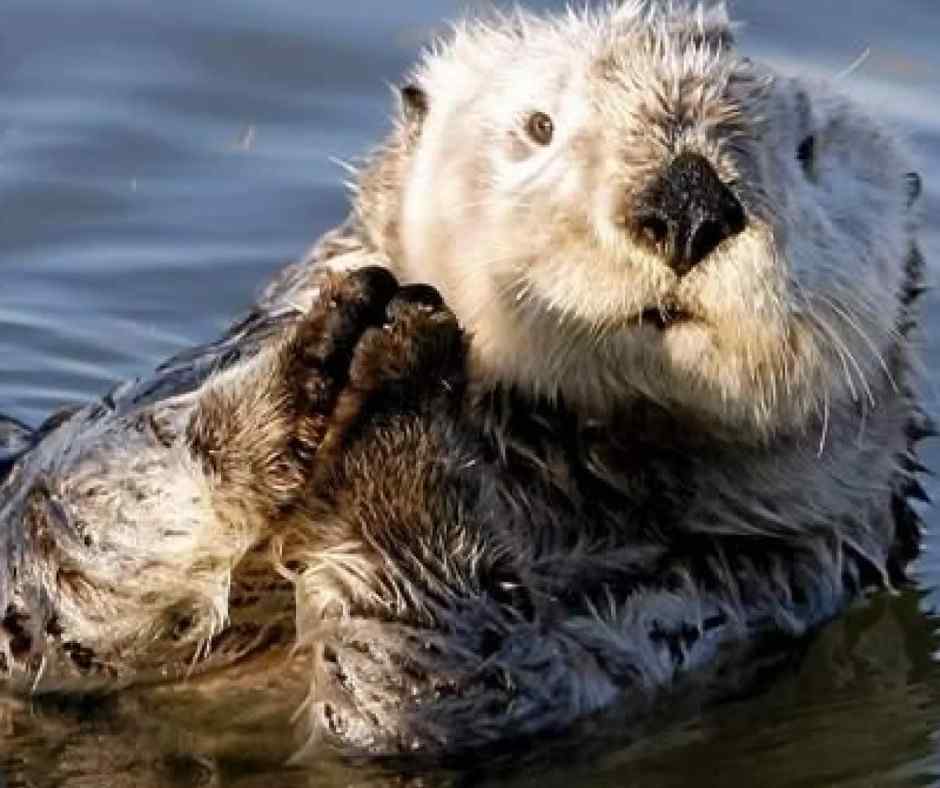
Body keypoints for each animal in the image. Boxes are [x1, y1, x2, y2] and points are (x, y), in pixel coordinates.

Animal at [0, 2, 930, 758]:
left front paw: (402, 386)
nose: (687, 203)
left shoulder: (711, 603)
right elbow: (56, 537)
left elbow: (446, 685)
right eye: (540, 124)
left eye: (808, 152)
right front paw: (324, 349)